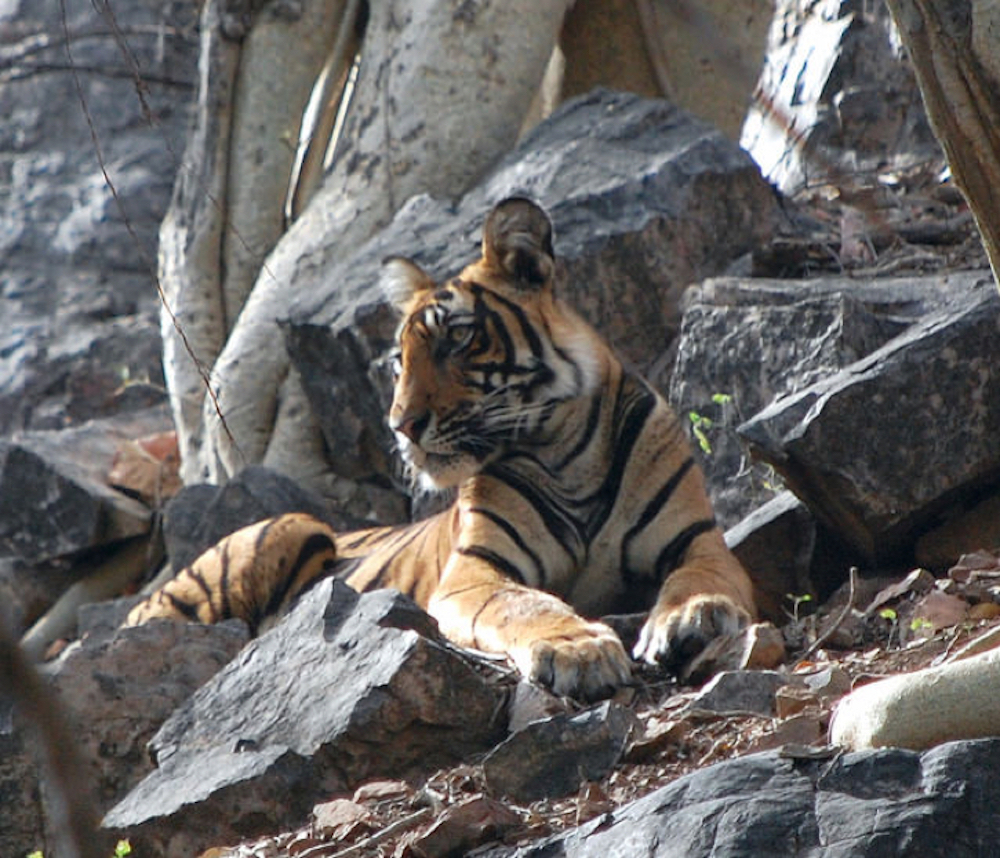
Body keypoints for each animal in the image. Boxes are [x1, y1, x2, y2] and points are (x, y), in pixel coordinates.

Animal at [129, 197, 752, 700]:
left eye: (457, 338)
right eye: (399, 361)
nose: (401, 425)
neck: (566, 451)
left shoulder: (698, 540)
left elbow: (702, 578)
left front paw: (695, 615)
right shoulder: (475, 572)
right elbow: (527, 603)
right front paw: (579, 650)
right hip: (287, 529)